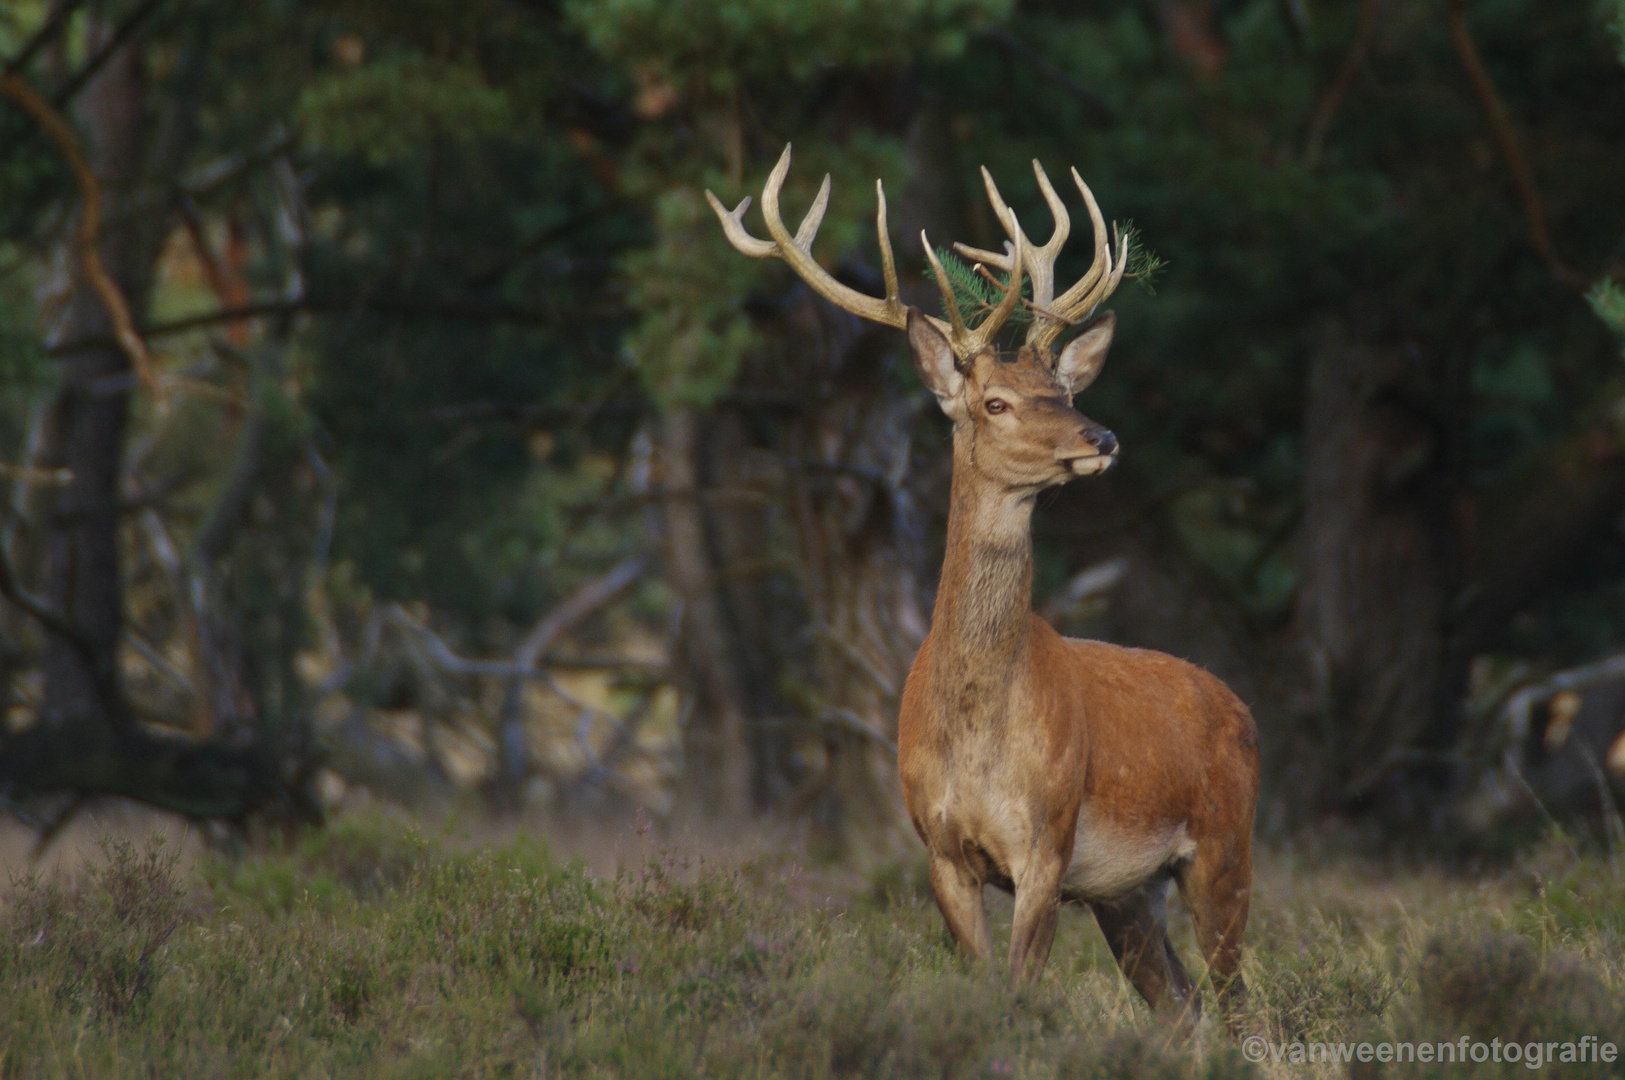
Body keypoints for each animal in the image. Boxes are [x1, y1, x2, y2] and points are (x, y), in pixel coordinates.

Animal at [708, 145, 1254, 1026]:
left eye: (1063, 392)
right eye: (994, 402)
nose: (1101, 436)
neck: (975, 730)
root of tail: (1240, 708)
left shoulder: (1047, 841)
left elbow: (1019, 990)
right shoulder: (938, 848)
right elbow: (980, 984)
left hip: (1223, 849)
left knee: (1237, 1005)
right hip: (1128, 893)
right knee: (1183, 1007)